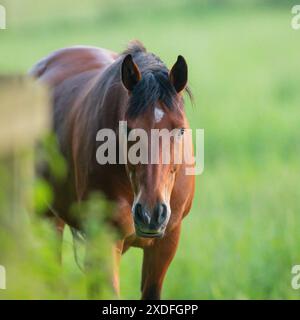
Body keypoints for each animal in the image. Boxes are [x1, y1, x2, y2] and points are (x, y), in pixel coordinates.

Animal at [29, 40, 195, 300]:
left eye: (180, 130)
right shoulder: (104, 241)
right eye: (128, 129)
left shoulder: (166, 241)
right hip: (45, 217)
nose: (151, 214)